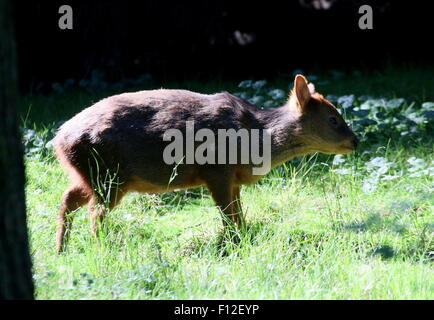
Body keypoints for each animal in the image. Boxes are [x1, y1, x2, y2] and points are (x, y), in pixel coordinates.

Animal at [54, 75, 358, 252]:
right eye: (333, 119)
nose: (355, 141)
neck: (254, 140)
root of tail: (59, 140)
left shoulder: (233, 178)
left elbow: (238, 213)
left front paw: (244, 237)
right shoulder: (217, 171)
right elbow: (227, 214)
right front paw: (235, 244)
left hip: (92, 175)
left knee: (68, 199)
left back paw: (61, 249)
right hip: (109, 175)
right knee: (95, 212)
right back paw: (102, 247)